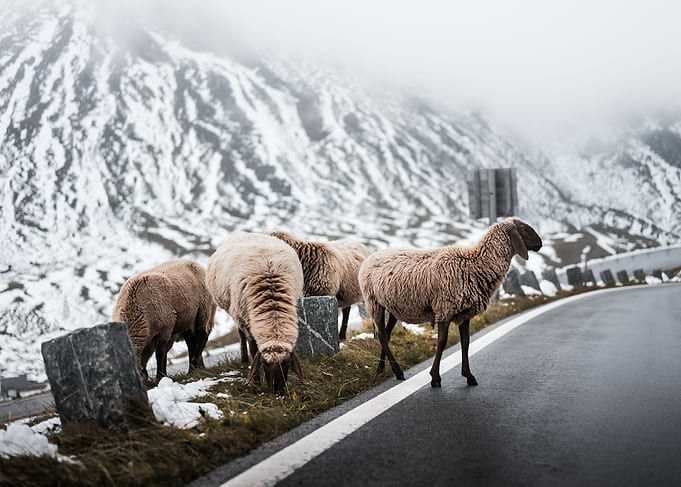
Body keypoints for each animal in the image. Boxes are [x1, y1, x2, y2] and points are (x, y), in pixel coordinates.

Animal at [206, 232, 304, 393]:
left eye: (286, 363)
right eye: (264, 364)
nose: (277, 391)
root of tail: (245, 233)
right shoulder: (245, 319)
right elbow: (253, 348)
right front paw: (256, 381)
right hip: (236, 311)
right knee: (240, 334)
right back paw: (244, 359)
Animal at [359, 218, 542, 387]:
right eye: (524, 228)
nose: (540, 243)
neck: (475, 263)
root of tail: (371, 256)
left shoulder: (464, 314)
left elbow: (466, 342)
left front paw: (469, 376)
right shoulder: (445, 310)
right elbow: (442, 342)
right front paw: (435, 378)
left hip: (393, 306)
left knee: (386, 334)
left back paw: (382, 368)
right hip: (374, 302)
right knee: (382, 336)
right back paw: (397, 371)